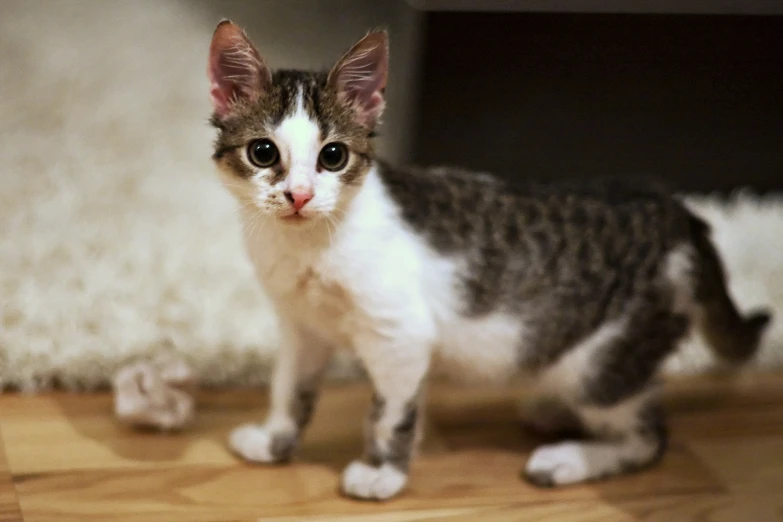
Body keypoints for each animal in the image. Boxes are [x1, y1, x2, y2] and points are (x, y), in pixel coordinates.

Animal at [204, 21, 772, 500]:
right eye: (262, 152)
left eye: (333, 156)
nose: (299, 195)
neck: (309, 249)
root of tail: (679, 212)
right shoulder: (302, 326)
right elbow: (289, 387)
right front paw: (275, 440)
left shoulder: (399, 333)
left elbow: (390, 410)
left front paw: (383, 471)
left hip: (603, 360)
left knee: (649, 435)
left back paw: (568, 459)